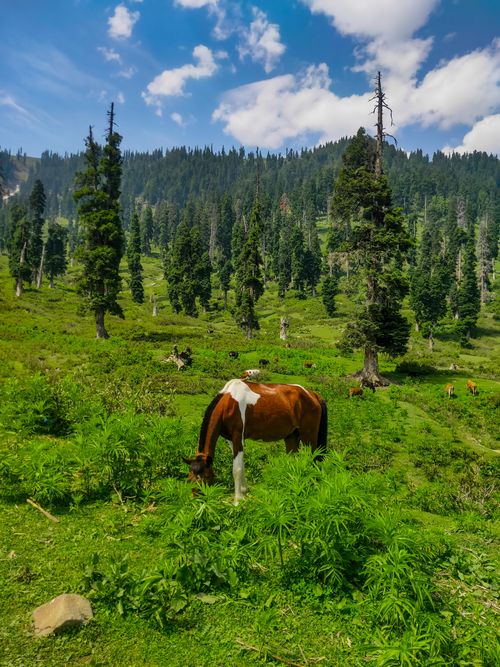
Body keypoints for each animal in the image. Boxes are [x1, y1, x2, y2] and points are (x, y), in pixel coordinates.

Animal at [184, 379, 328, 504]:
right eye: (189, 479)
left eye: (204, 479)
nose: (195, 502)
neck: (228, 403)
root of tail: (313, 395)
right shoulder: (231, 440)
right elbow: (241, 465)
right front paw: (243, 491)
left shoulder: (238, 436)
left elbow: (236, 469)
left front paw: (237, 500)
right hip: (292, 436)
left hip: (308, 436)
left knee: (313, 460)